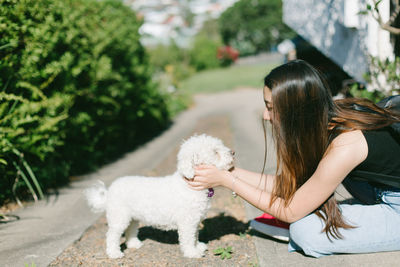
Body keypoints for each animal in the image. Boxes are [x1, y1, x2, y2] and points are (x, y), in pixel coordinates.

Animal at [84, 135, 234, 258]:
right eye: (215, 152)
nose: (233, 152)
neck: (189, 184)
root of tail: (110, 190)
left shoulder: (195, 221)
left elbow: (195, 237)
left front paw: (198, 247)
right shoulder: (187, 223)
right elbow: (188, 239)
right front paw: (193, 253)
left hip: (133, 218)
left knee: (130, 230)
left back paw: (134, 244)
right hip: (119, 217)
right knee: (111, 236)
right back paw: (114, 253)